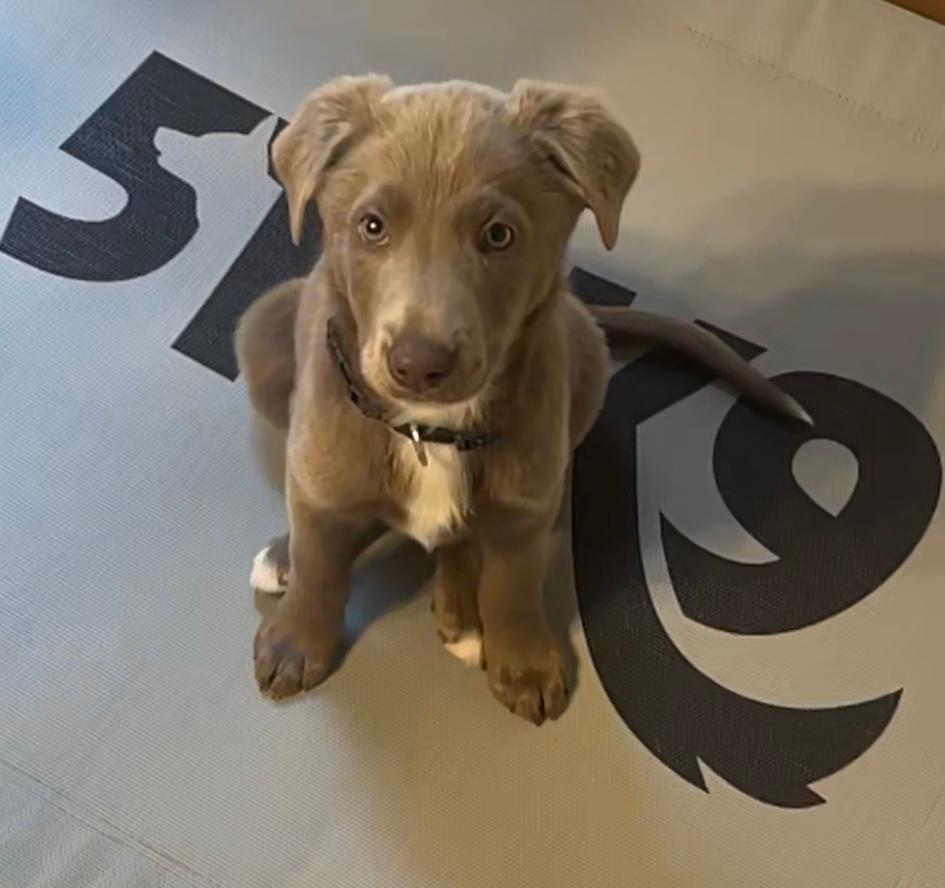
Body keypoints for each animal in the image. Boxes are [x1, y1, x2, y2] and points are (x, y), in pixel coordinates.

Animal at [236, 76, 804, 724]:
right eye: (371, 226)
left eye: (498, 235)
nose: (418, 364)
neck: (430, 430)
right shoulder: (320, 471)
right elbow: (320, 565)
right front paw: (296, 641)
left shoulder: (528, 504)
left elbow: (513, 585)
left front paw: (525, 661)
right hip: (263, 332)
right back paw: (287, 557)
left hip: (585, 363)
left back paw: (461, 609)